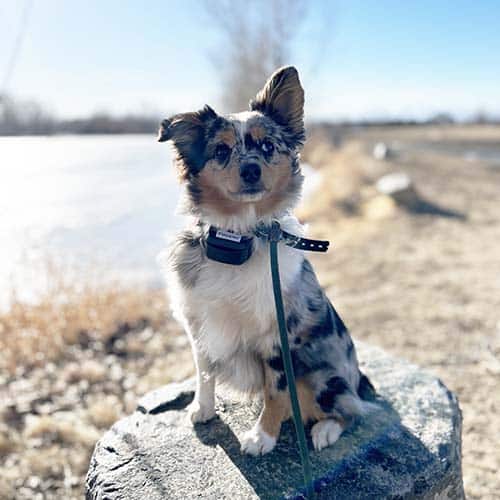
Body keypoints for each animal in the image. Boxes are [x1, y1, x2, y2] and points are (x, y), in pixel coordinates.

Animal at [158, 65, 374, 454]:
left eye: (268, 145)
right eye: (221, 149)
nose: (251, 170)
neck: (238, 237)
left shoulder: (278, 334)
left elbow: (276, 390)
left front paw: (263, 437)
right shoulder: (199, 325)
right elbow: (204, 373)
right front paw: (202, 408)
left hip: (324, 375)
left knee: (349, 409)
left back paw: (324, 431)